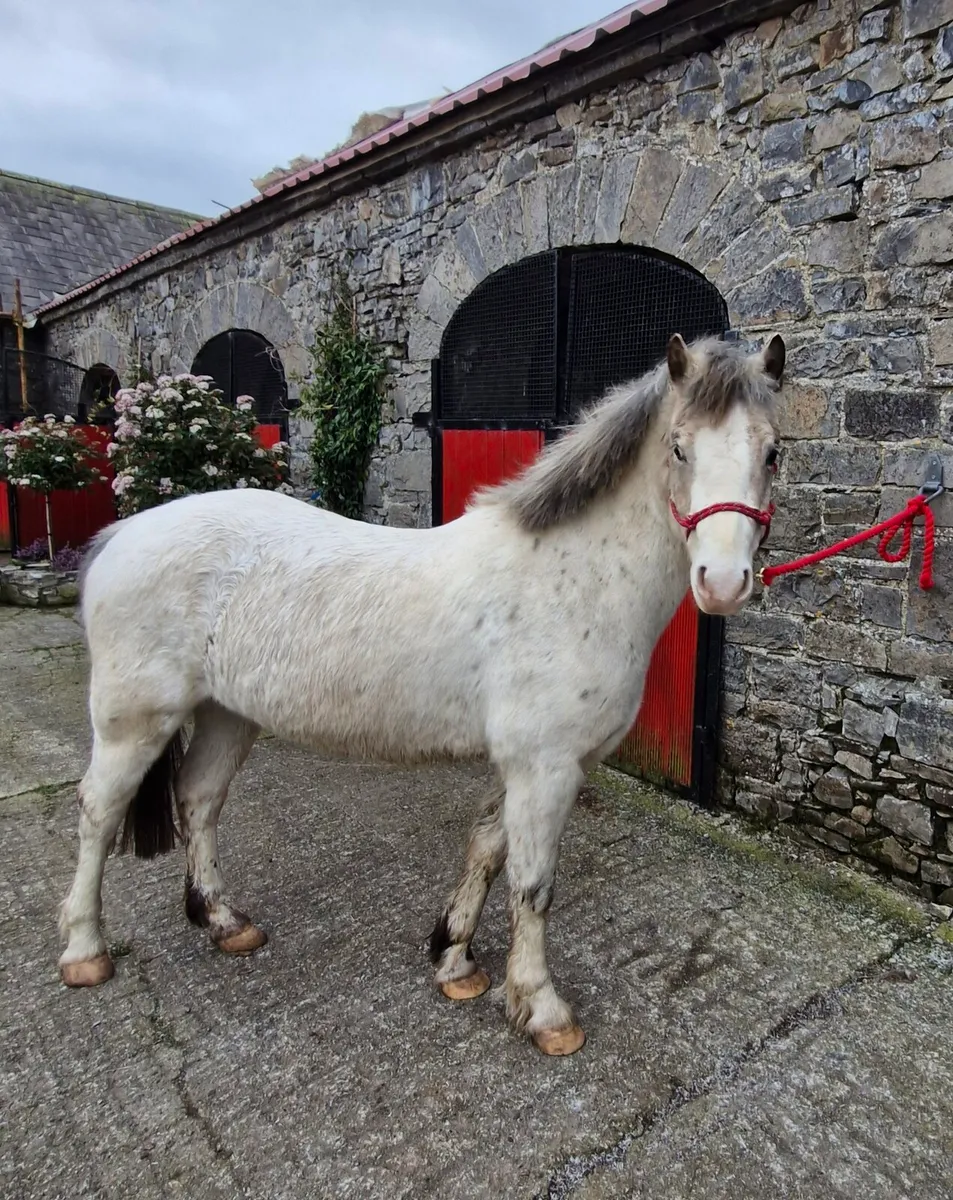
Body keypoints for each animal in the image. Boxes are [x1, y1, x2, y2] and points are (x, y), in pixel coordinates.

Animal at [59, 332, 785, 1056]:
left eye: (772, 451)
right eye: (679, 448)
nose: (722, 582)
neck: (574, 578)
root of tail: (122, 534)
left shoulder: (524, 766)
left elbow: (486, 848)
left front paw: (454, 959)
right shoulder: (545, 768)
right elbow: (532, 885)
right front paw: (541, 1008)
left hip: (226, 714)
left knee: (200, 799)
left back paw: (223, 920)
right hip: (134, 722)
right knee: (98, 811)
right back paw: (85, 951)